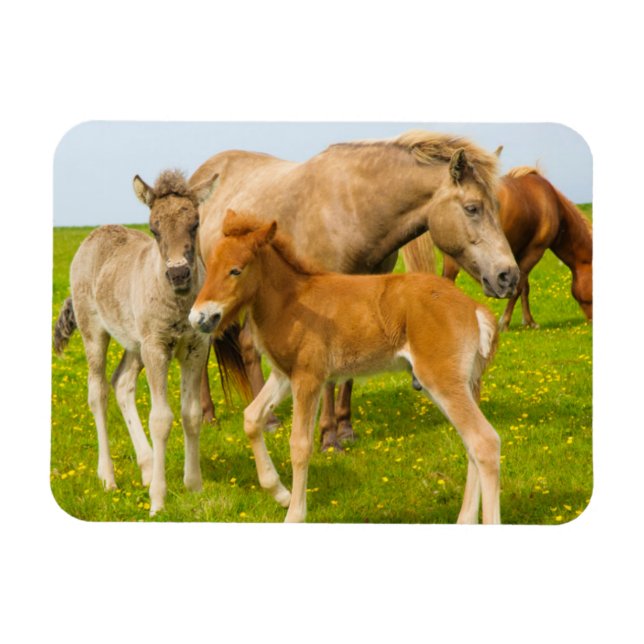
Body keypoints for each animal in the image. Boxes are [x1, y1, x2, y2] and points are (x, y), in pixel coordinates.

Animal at [53, 169, 220, 515]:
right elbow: (161, 419)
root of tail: (94, 235)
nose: (179, 274)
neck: (178, 303)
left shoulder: (196, 348)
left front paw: (193, 486)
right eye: (154, 229)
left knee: (122, 383)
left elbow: (191, 414)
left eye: (195, 223)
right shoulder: (156, 347)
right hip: (95, 333)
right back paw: (108, 478)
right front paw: (158, 500)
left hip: (134, 344)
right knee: (98, 392)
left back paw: (146, 466)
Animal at [189, 211, 502, 523]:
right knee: (471, 445)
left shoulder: (309, 377)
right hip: (461, 384)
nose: (198, 317)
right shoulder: (284, 375)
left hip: (442, 380)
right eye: (209, 267)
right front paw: (280, 493)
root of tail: (474, 308)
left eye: (235, 270)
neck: (292, 301)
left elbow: (300, 445)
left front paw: (294, 514)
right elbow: (252, 418)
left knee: (484, 442)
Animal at [191, 130, 519, 450]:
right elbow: (328, 380)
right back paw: (210, 415)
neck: (353, 209)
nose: (508, 276)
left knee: (246, 345)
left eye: (498, 206)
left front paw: (345, 429)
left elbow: (347, 375)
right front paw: (328, 437)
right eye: (472, 208)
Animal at [405, 166, 593, 330]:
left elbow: (524, 287)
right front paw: (505, 323)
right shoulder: (535, 251)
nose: (591, 321)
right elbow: (518, 288)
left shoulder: (517, 256)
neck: (551, 201)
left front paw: (529, 321)